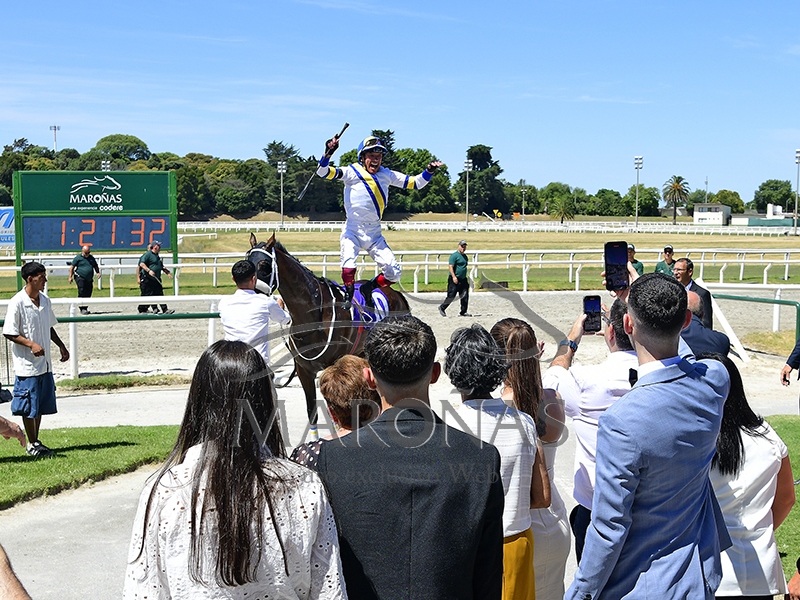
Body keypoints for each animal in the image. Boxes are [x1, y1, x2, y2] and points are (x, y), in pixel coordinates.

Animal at [247, 233, 410, 422]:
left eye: (264, 265)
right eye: (246, 261)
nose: (251, 294)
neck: (313, 314)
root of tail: (397, 295)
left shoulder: (332, 367)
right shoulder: (304, 371)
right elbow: (312, 413)